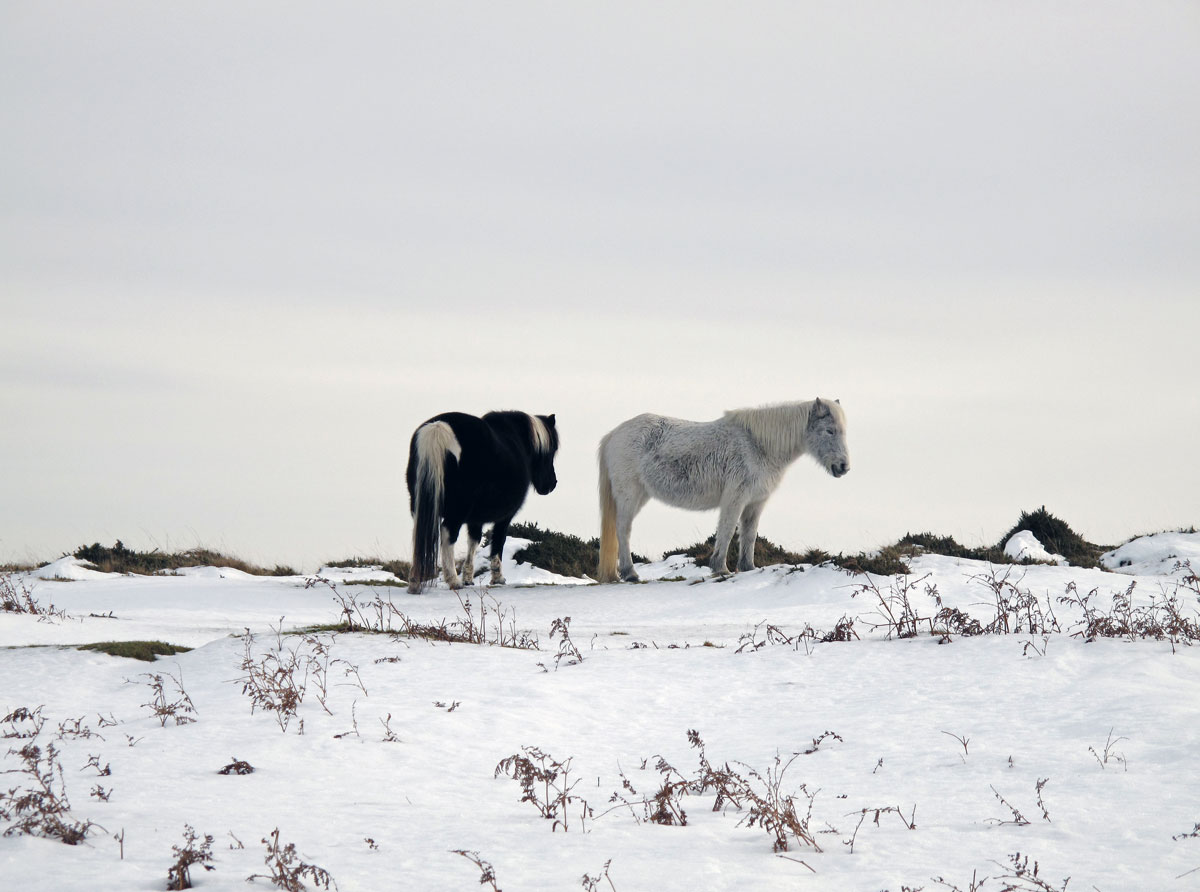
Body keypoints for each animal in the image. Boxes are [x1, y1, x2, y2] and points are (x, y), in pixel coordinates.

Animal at [406, 410, 559, 594]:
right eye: (552, 450)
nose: (551, 484)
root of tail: (438, 428)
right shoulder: (505, 516)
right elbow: (498, 542)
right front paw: (497, 577)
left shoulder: (475, 519)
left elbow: (474, 541)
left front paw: (468, 578)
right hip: (457, 509)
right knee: (448, 534)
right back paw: (453, 581)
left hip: (420, 505)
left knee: (419, 534)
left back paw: (415, 582)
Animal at [597, 398, 849, 583]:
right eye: (829, 431)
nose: (843, 467)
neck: (758, 446)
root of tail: (614, 434)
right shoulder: (735, 498)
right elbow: (727, 531)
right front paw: (720, 568)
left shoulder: (755, 503)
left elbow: (749, 535)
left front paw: (748, 568)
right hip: (630, 495)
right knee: (623, 530)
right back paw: (630, 573)